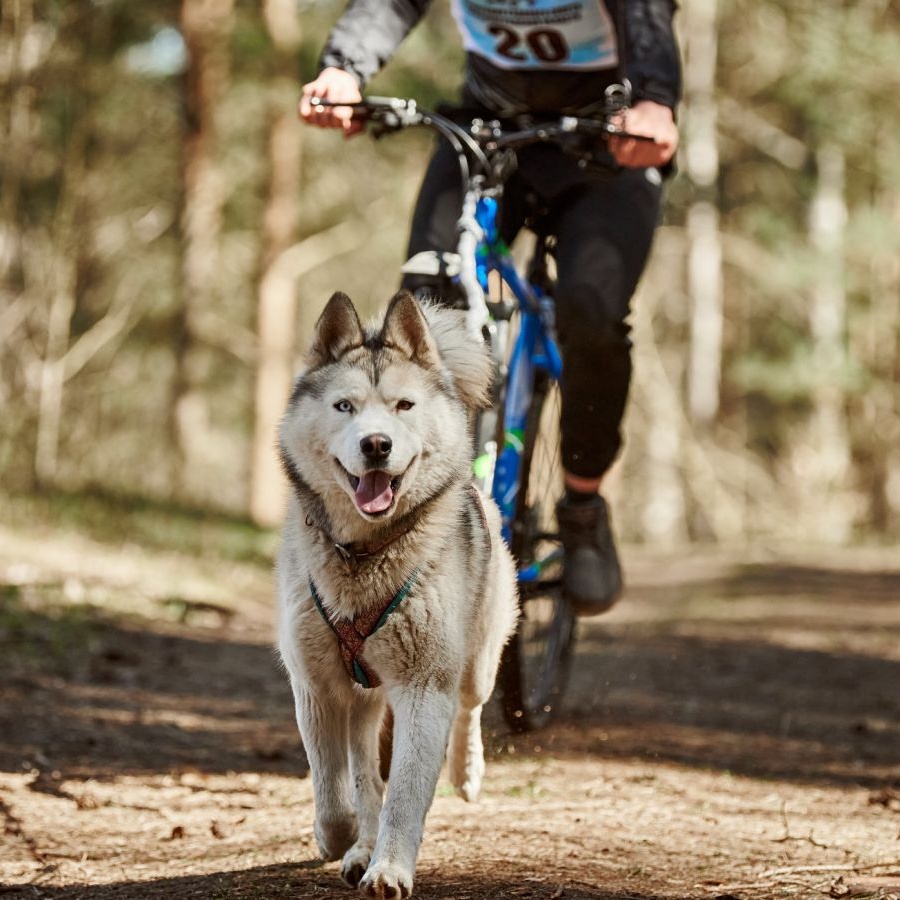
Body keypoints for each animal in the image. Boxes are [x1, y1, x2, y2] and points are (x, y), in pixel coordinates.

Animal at [280, 292, 520, 896]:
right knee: (364, 764)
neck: (363, 556)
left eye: (404, 406)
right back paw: (359, 843)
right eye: (344, 406)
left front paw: (389, 867)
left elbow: (406, 792)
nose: (376, 444)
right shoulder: (315, 684)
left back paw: (466, 769)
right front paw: (343, 839)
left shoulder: (423, 686)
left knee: (470, 708)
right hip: (363, 695)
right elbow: (335, 785)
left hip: (477, 661)